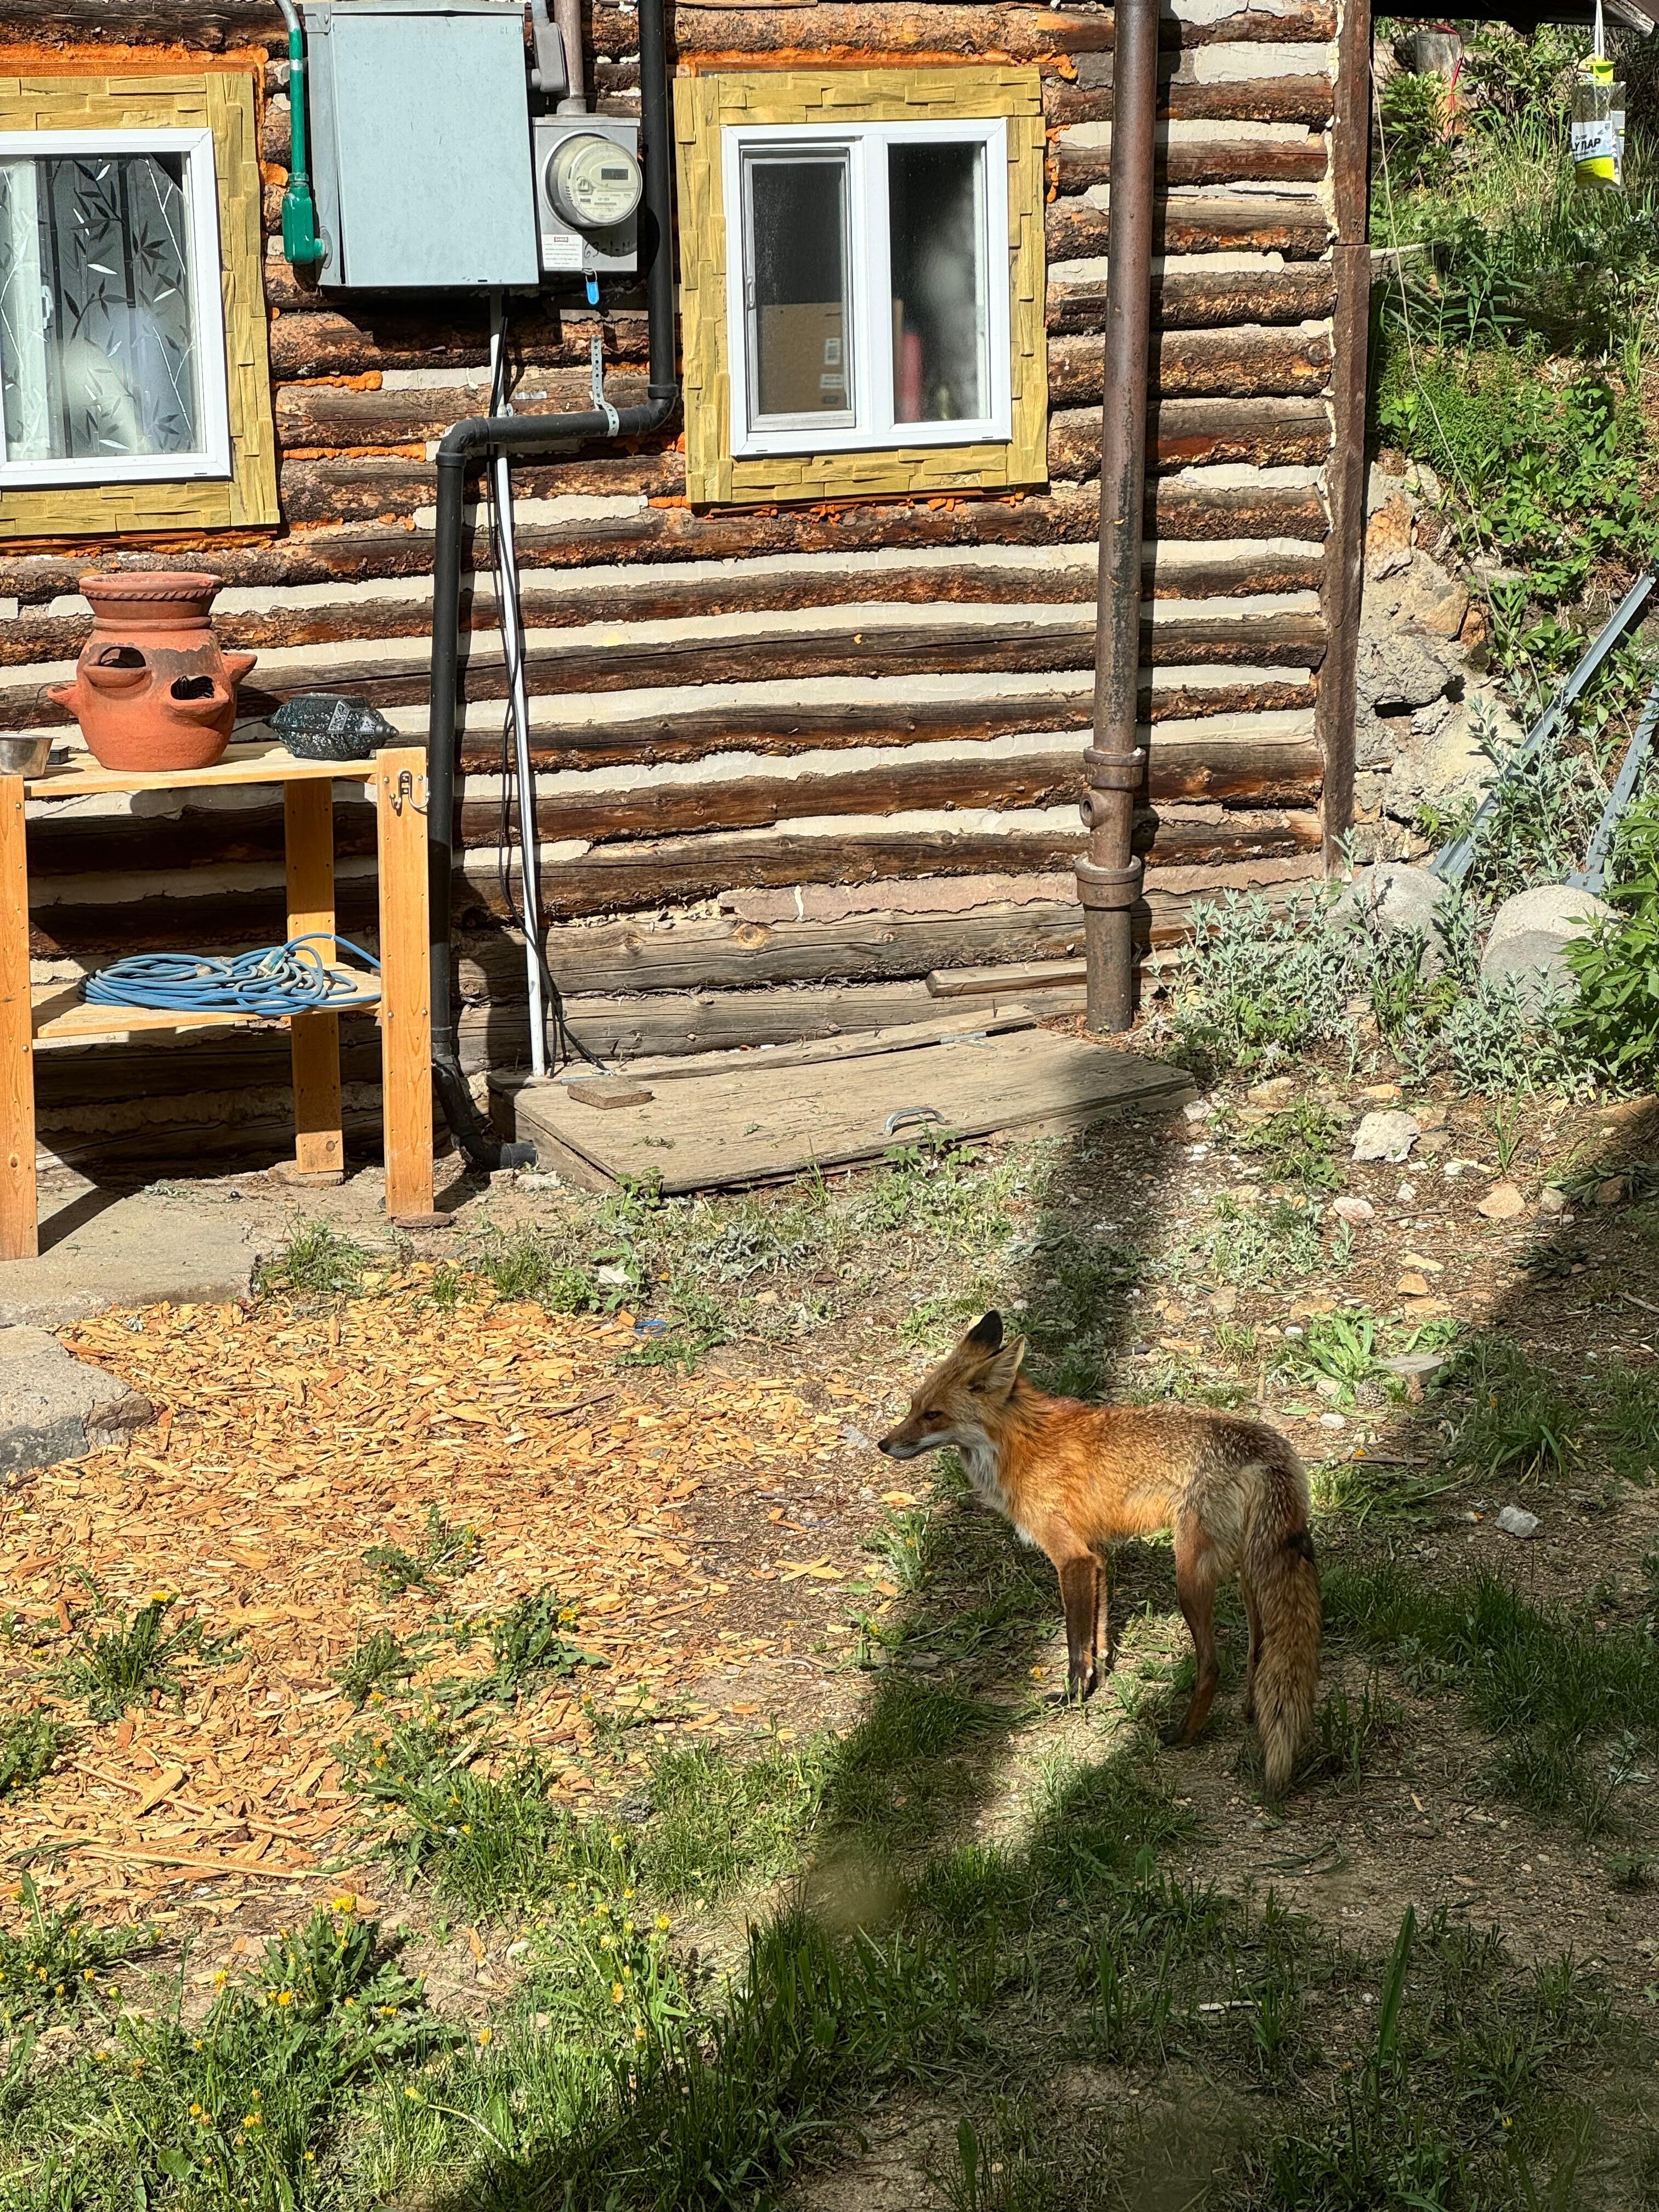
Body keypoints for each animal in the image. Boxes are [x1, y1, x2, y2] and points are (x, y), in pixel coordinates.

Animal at [877, 1311, 1321, 1796]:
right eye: (914, 1406)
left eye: (933, 1415)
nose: (884, 1445)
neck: (1022, 1444)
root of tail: (1266, 1449)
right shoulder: (1097, 1556)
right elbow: (1099, 1634)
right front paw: (1098, 1683)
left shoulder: (1071, 1557)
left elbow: (1076, 1644)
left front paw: (1073, 1697)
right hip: (1250, 1576)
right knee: (1260, 1655)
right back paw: (1249, 1716)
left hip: (1190, 1579)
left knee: (1211, 1666)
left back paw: (1184, 1735)